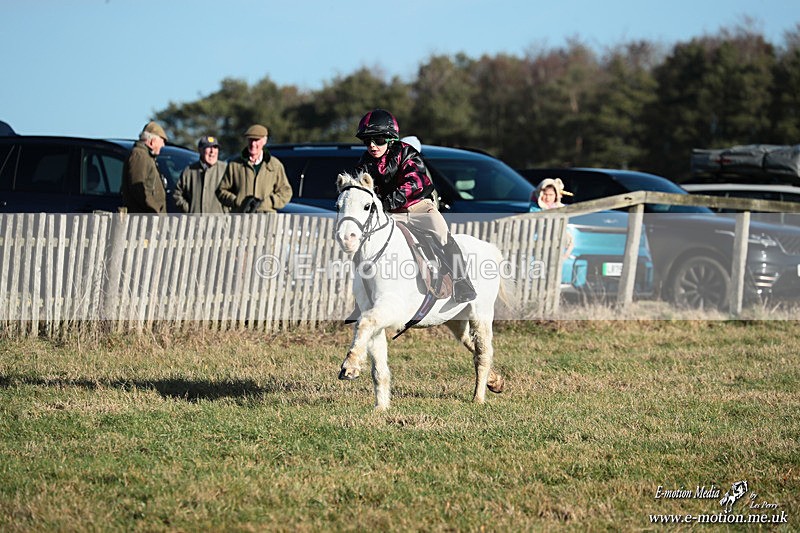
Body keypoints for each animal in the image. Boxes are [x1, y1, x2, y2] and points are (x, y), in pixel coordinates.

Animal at [334, 171, 507, 410]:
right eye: (338, 205)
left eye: (367, 206)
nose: (346, 239)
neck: (376, 256)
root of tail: (489, 248)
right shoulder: (376, 313)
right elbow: (377, 364)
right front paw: (381, 407)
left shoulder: (392, 309)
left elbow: (365, 323)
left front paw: (350, 366)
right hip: (455, 319)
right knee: (471, 345)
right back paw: (495, 381)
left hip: (480, 314)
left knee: (483, 353)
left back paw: (478, 397)